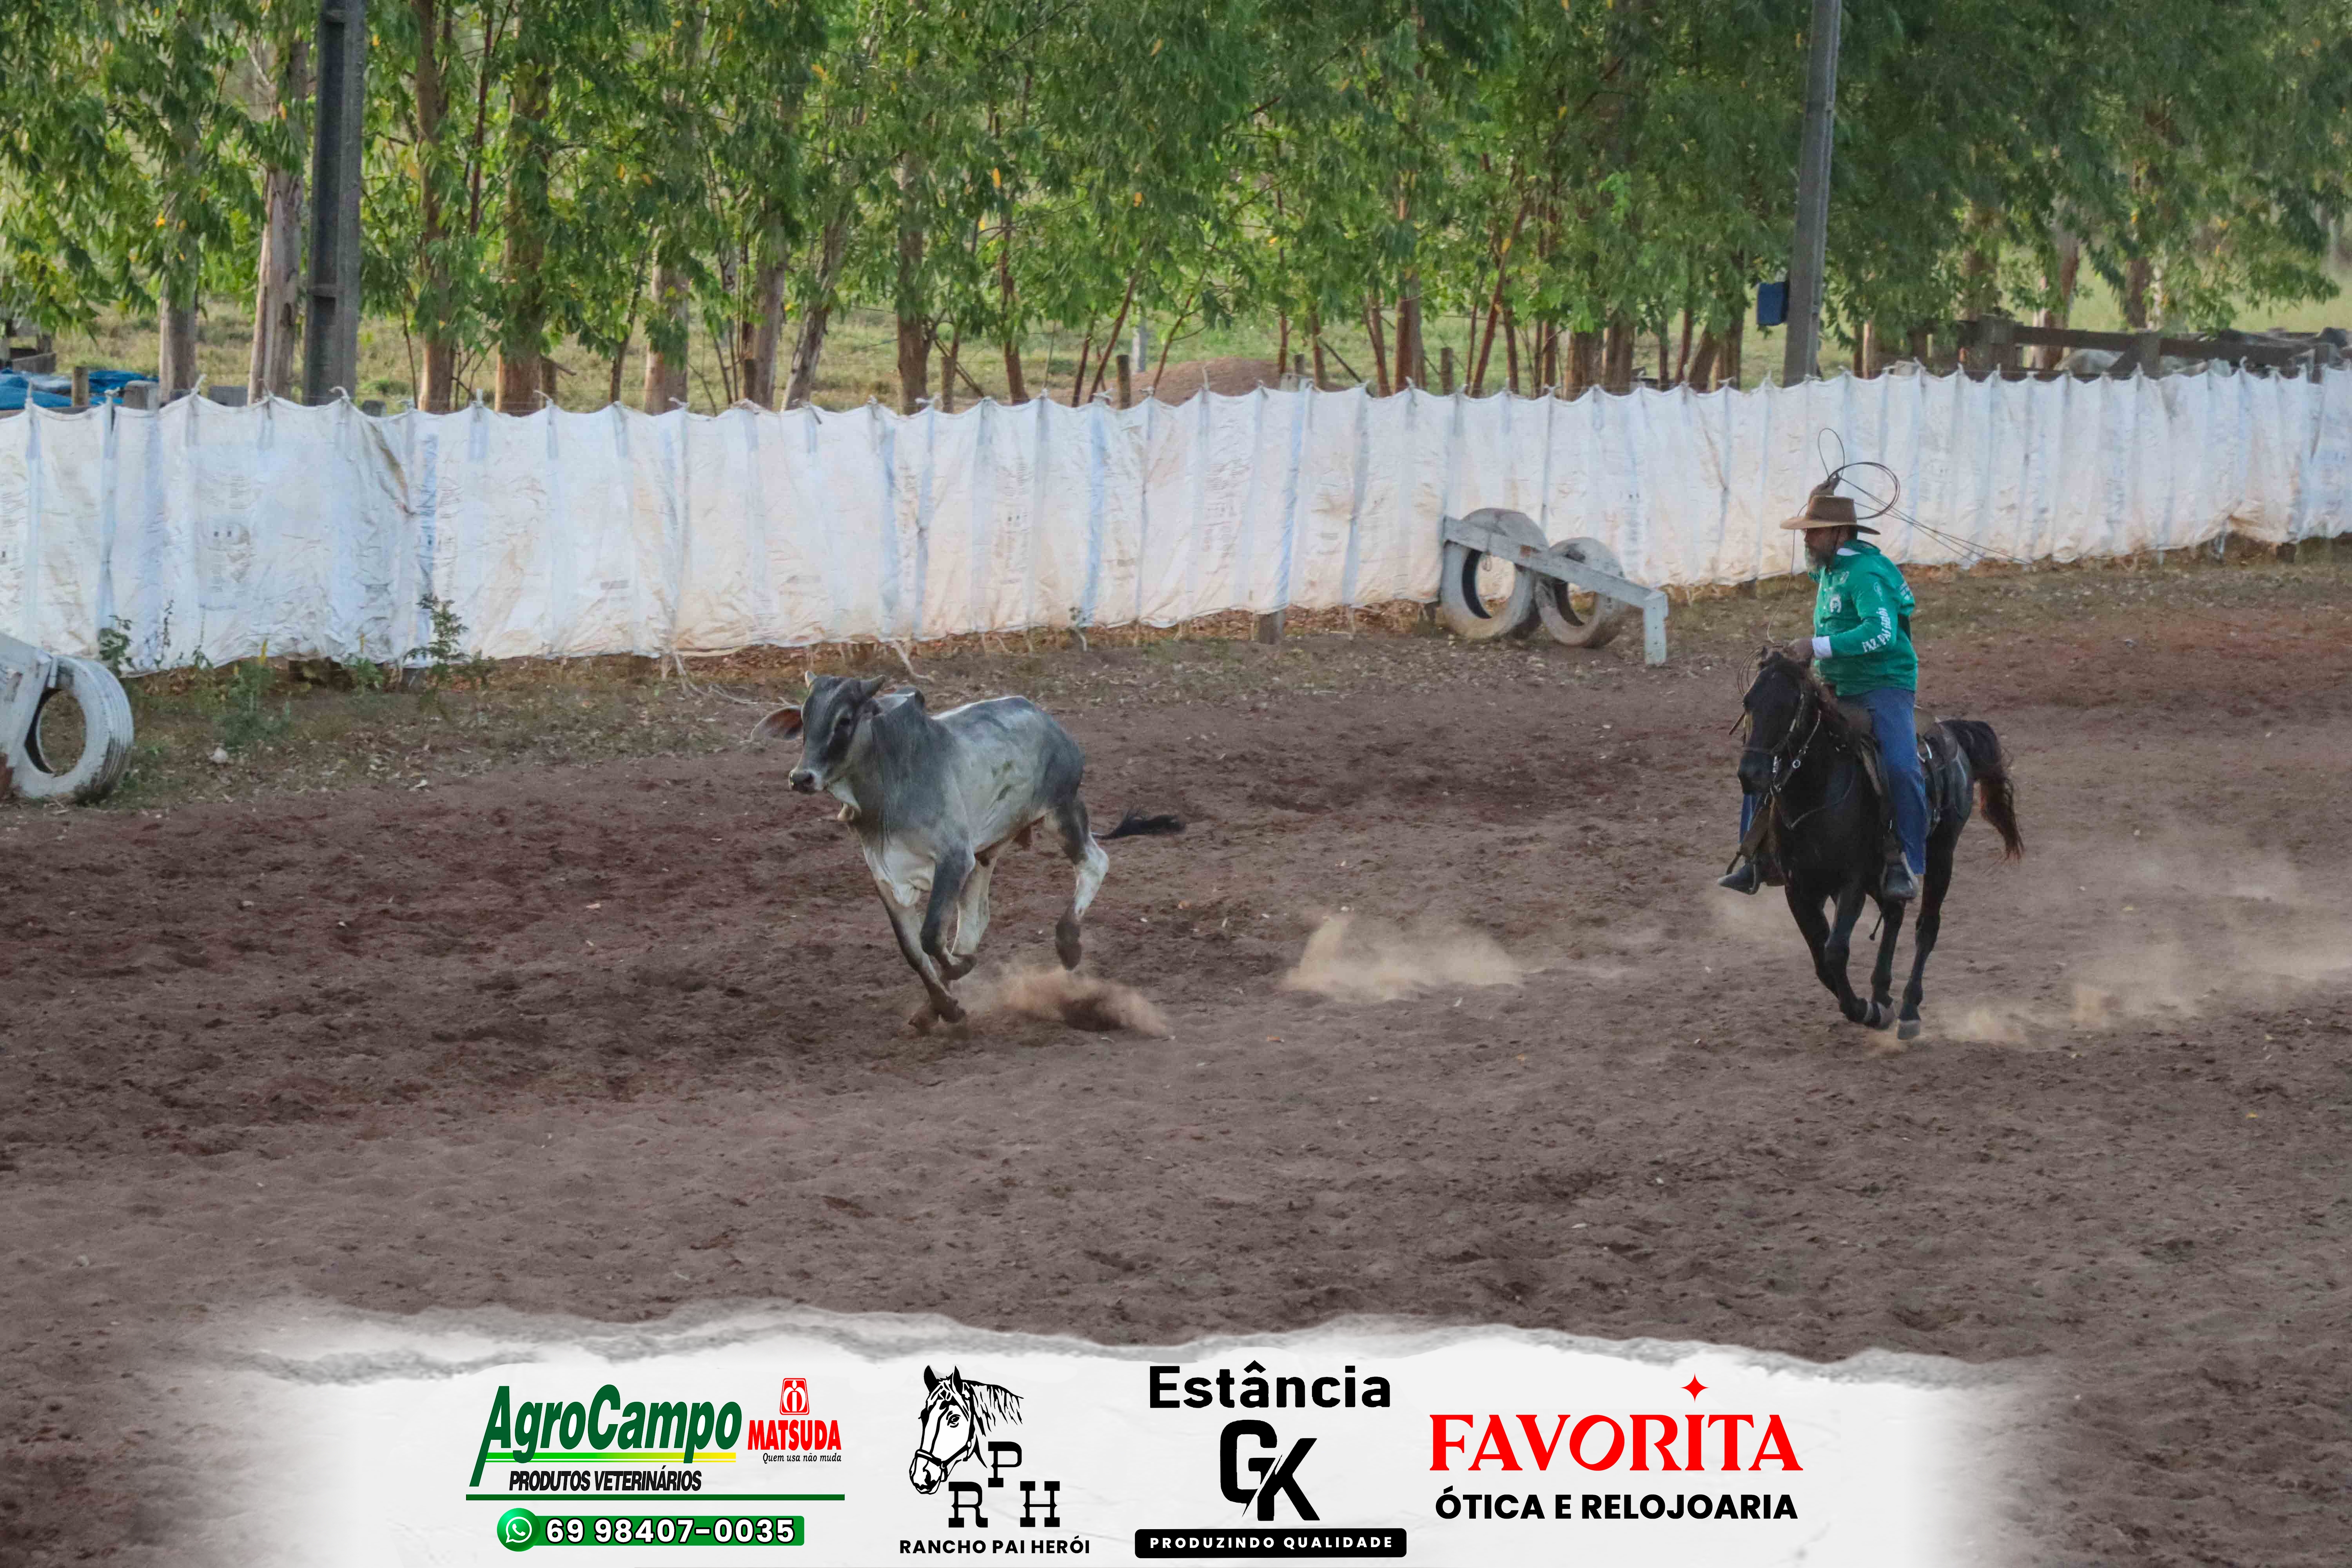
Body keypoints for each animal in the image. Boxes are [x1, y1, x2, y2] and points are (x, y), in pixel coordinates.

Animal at [754, 674, 1181, 1028]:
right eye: (805, 720)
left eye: (844, 721)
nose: (801, 777)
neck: (888, 784)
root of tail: (1051, 724)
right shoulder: (887, 876)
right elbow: (914, 949)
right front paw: (945, 1005)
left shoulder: (953, 859)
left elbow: (930, 937)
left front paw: (959, 977)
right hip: (987, 854)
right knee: (974, 923)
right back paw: (933, 1010)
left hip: (1062, 812)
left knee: (1094, 864)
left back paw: (1069, 944)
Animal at [1734, 649, 2023, 1039]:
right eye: (1749, 702)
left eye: (1790, 706)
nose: (1751, 774)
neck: (1817, 792)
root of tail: (1950, 733)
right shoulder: (1799, 888)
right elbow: (1822, 960)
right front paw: (1873, 1004)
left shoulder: (1852, 882)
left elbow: (1835, 951)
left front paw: (1866, 1011)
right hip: (1883, 872)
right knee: (1894, 912)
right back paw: (1883, 992)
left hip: (1941, 853)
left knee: (1926, 927)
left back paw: (1908, 1009)